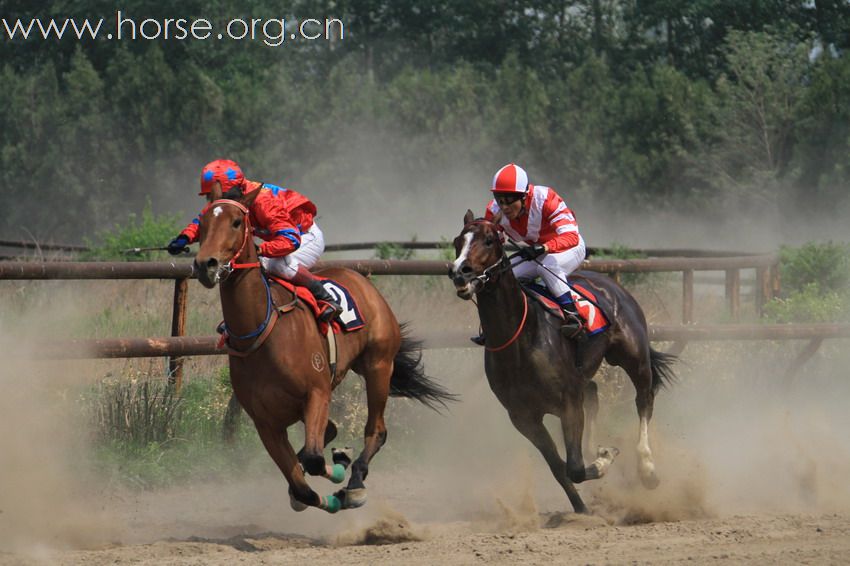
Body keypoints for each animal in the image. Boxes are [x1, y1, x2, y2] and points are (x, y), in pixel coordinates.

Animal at [194, 185, 458, 516]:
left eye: (236, 222)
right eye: (202, 223)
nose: (205, 264)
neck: (262, 332)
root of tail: (362, 279)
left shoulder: (316, 393)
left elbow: (314, 459)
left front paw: (342, 477)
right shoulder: (265, 422)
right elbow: (302, 487)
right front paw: (320, 487)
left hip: (378, 365)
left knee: (376, 430)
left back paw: (355, 480)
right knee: (326, 438)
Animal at [448, 212, 672, 516]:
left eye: (489, 240)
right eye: (457, 241)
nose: (461, 272)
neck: (521, 338)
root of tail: (613, 286)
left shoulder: (568, 404)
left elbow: (574, 467)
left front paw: (605, 459)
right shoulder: (524, 418)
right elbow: (559, 467)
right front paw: (582, 507)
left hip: (634, 357)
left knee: (644, 400)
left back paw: (647, 468)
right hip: (585, 375)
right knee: (593, 393)